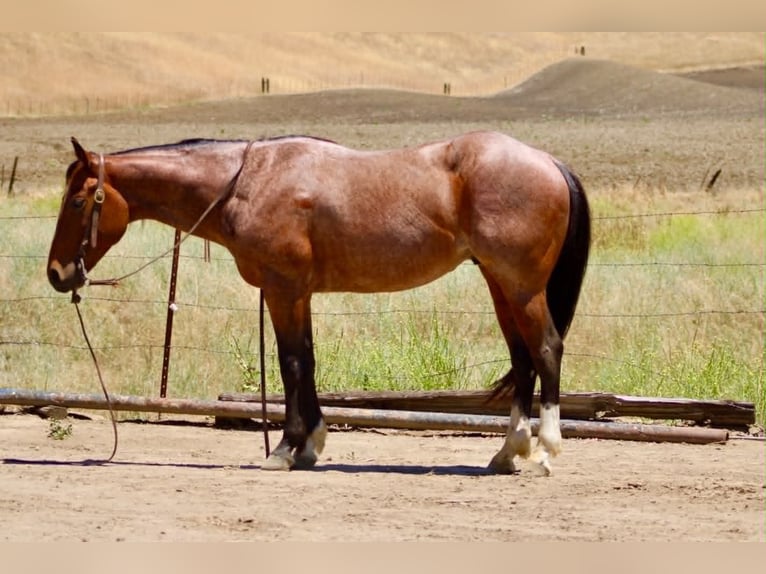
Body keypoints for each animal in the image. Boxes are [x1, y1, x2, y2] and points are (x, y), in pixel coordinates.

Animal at [47, 131, 591, 475]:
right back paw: (507, 454)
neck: (246, 182)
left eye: (77, 202)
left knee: (545, 350)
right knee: (522, 359)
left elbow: (289, 363)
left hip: (521, 286)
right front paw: (311, 443)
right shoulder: (298, 293)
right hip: (501, 285)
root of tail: (549, 162)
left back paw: (544, 453)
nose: (57, 273)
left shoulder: (283, 288)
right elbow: (306, 361)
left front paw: (287, 448)